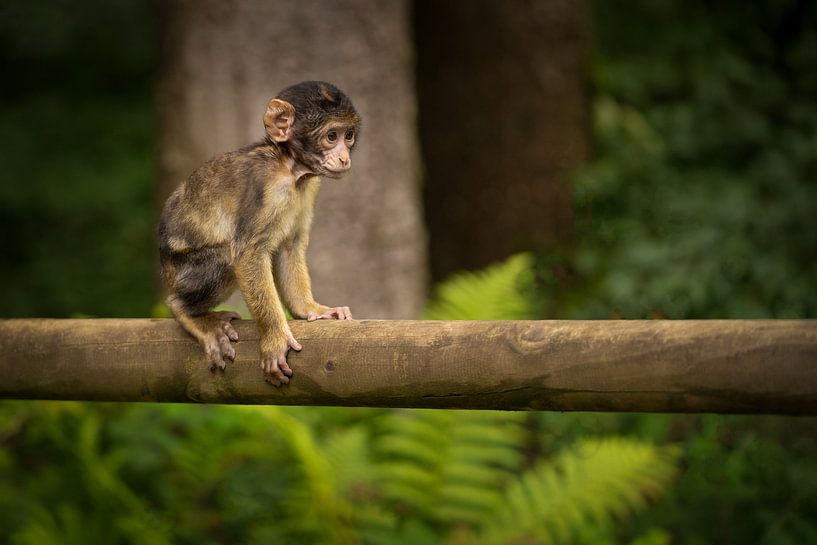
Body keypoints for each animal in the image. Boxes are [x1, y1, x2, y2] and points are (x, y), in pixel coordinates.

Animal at [158, 81, 359, 385]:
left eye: (348, 136)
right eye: (331, 136)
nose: (344, 157)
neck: (289, 167)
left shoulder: (309, 187)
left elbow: (290, 245)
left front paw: (311, 310)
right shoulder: (265, 186)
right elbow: (247, 254)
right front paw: (275, 339)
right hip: (182, 271)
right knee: (223, 259)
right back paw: (185, 311)